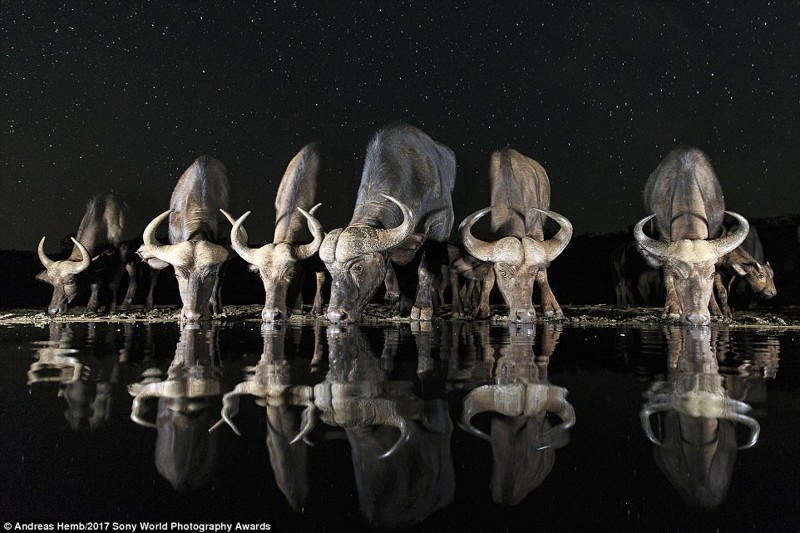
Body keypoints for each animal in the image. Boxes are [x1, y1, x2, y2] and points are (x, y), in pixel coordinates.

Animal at [318, 122, 456, 322]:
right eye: (330, 271)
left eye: (359, 267)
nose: (336, 316)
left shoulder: (441, 221)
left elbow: (425, 268)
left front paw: (422, 307)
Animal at [454, 147, 572, 320]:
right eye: (503, 272)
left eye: (532, 273)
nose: (525, 315)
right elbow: (488, 276)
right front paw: (482, 308)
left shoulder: (536, 230)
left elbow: (543, 274)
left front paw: (551, 307)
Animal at [636, 145, 752, 324]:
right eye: (677, 275)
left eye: (710, 274)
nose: (697, 317)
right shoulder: (663, 236)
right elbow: (666, 275)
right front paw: (673, 310)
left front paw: (717, 312)